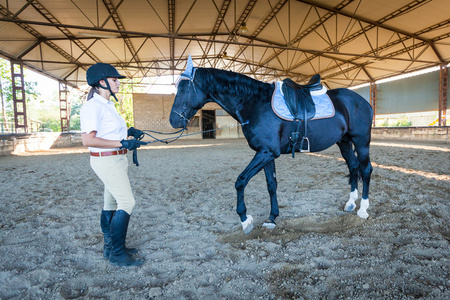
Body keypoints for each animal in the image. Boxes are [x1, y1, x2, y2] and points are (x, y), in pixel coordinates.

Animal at [169, 59, 372, 234]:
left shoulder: (266, 152)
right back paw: (351, 203)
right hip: (344, 141)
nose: (173, 120)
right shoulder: (266, 154)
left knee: (366, 169)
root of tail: (362, 101)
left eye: (184, 88)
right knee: (353, 167)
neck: (256, 104)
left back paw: (363, 209)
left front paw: (245, 220)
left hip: (361, 142)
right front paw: (272, 218)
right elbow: (271, 185)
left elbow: (241, 181)